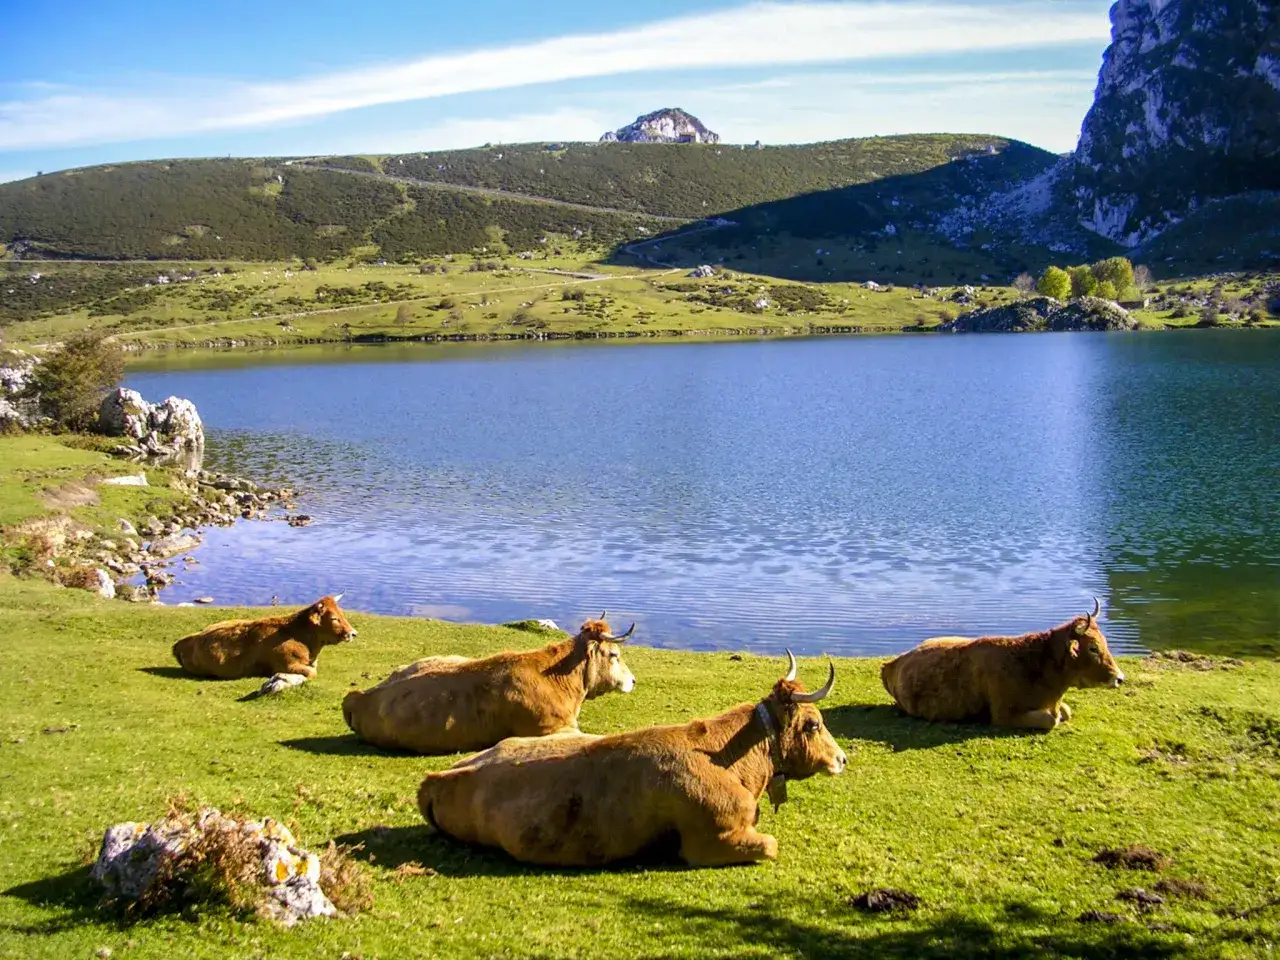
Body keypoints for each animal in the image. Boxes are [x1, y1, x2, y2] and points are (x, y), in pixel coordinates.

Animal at [171, 595, 356, 688]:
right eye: (334, 618)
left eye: (342, 613)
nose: (353, 633)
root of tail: (184, 642)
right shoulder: (286, 665)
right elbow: (312, 673)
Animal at [416, 651, 847, 867]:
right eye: (813, 724)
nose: (842, 759)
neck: (727, 760)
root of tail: (435, 778)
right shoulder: (710, 840)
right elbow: (770, 845)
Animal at [880, 598, 1124, 730]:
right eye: (1093, 648)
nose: (1120, 678)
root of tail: (893, 663)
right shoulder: (1003, 714)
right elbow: (1050, 719)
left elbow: (1066, 711)